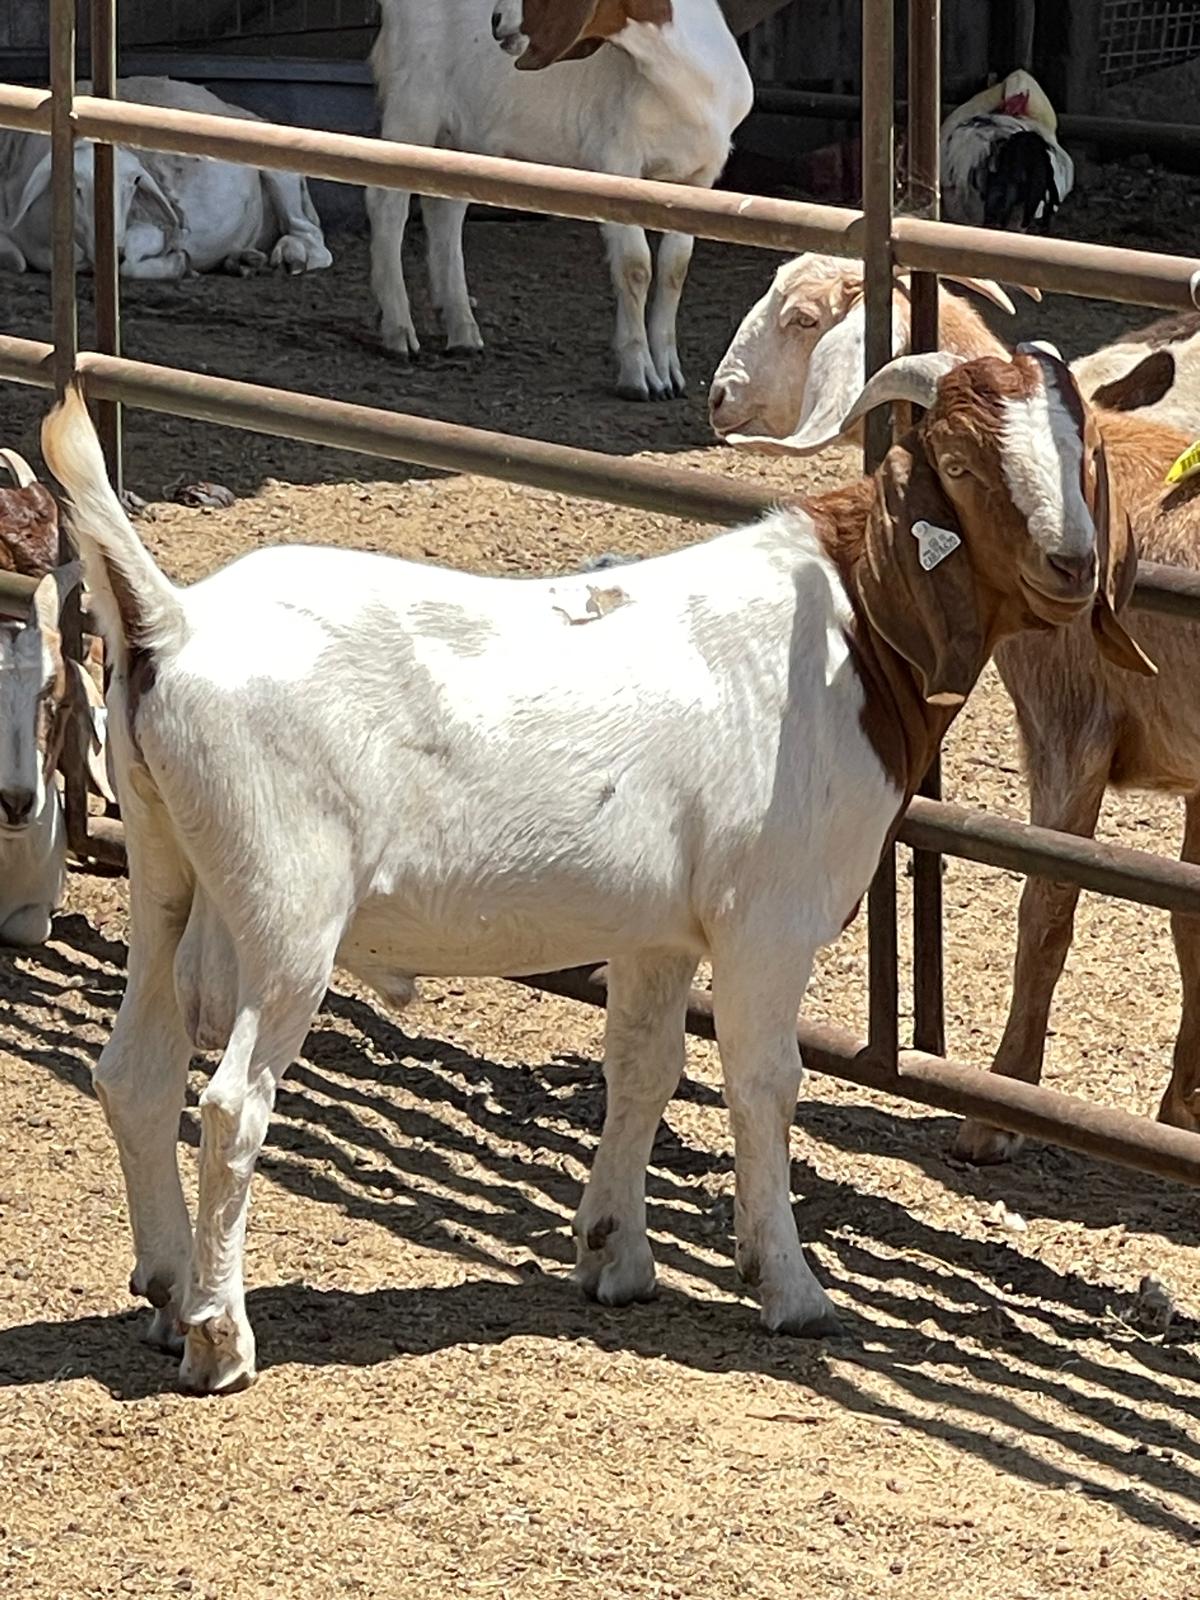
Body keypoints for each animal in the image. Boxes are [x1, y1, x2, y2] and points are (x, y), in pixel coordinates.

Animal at [0, 77, 331, 279]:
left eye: (135, 182)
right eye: (76, 186)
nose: (114, 251)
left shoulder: (154, 228)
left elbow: (134, 264)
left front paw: (178, 263)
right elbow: (17, 259)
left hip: (280, 170)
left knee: (313, 239)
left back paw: (292, 255)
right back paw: (243, 260)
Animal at [43, 346, 1150, 1392]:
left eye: (1080, 451)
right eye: (960, 462)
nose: (1070, 564)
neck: (851, 627)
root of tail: (174, 625)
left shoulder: (660, 930)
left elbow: (643, 1069)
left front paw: (616, 1255)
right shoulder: (765, 919)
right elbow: (764, 1082)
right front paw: (790, 1287)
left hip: (167, 869)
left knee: (137, 1072)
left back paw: (166, 1293)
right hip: (286, 906)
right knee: (233, 1102)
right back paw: (220, 1337)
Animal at [367, 0, 752, 399]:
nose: (496, 21)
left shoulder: (698, 179)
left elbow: (675, 269)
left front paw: (671, 374)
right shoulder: (618, 160)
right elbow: (635, 266)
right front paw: (640, 376)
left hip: (460, 133)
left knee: (444, 208)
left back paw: (462, 331)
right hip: (413, 102)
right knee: (386, 202)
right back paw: (398, 331)